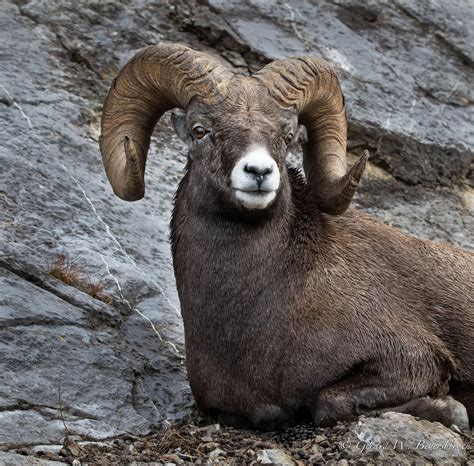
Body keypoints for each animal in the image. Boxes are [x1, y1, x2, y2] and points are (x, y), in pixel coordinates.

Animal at [99, 43, 470, 430]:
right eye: (201, 130)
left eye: (287, 135)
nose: (259, 172)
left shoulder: (412, 358)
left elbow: (328, 403)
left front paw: (449, 411)